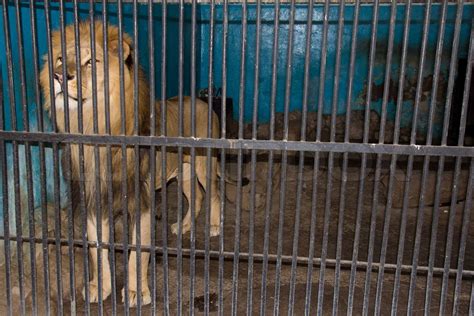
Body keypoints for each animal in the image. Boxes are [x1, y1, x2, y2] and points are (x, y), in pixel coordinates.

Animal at [39, 21, 222, 306]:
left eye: (91, 61)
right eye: (60, 59)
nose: (59, 76)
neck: (93, 127)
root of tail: (202, 101)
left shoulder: (142, 201)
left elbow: (138, 252)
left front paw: (137, 291)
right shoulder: (95, 198)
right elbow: (97, 247)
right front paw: (99, 287)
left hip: (205, 165)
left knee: (213, 194)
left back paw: (213, 226)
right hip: (182, 170)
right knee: (197, 196)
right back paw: (184, 226)